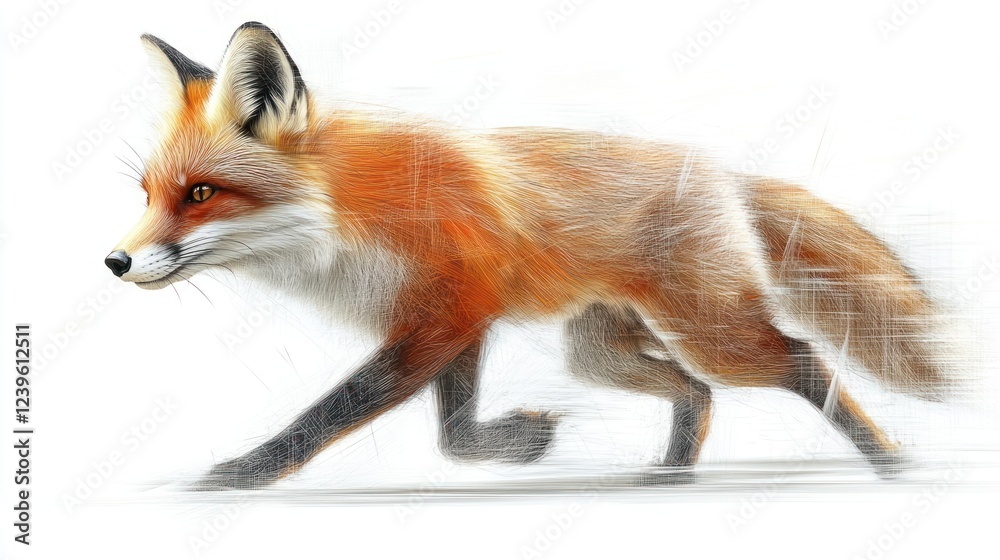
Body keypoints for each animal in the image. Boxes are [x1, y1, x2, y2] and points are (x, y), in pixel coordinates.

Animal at [106, 22, 952, 489]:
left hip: (712, 332)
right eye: (148, 193)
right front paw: (521, 442)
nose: (114, 263)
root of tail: (721, 173)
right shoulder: (451, 320)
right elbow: (453, 436)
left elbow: (330, 414)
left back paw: (890, 464)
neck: (347, 216)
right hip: (601, 350)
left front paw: (244, 475)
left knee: (801, 360)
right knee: (695, 391)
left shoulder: (448, 311)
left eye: (201, 193)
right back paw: (672, 473)